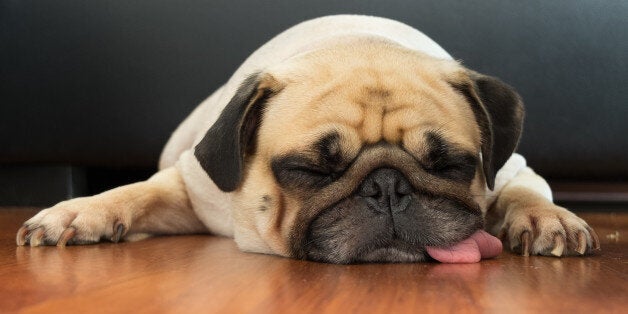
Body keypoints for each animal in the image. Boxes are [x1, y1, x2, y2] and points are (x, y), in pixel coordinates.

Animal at [17, 15, 600, 264]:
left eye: (449, 166)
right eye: (310, 171)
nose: (387, 188)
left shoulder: (515, 166)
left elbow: (523, 192)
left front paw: (547, 220)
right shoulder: (191, 188)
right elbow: (133, 193)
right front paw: (78, 213)